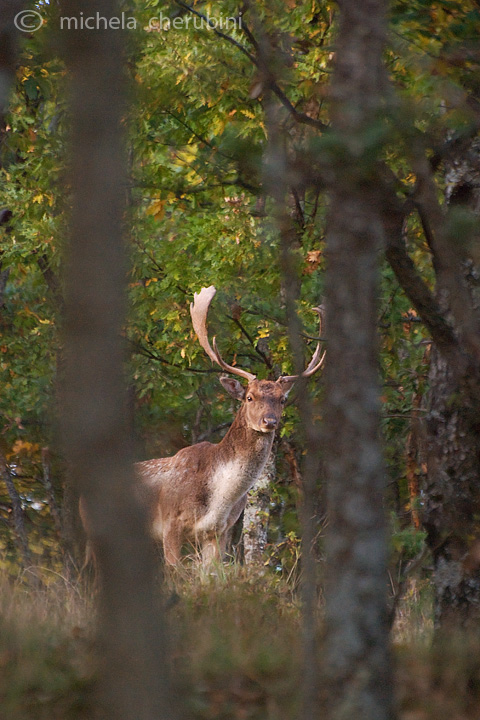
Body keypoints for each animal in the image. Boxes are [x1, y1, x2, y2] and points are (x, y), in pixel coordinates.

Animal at [133, 286, 324, 564]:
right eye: (249, 397)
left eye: (283, 399)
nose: (269, 421)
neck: (218, 500)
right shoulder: (170, 522)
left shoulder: (219, 530)